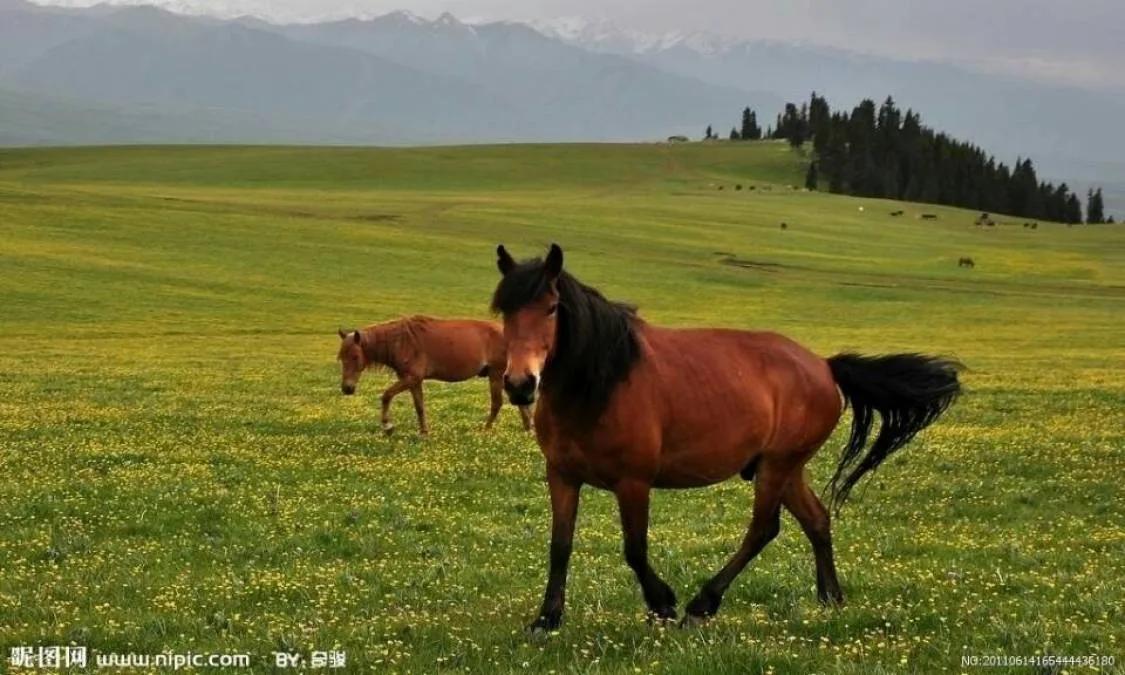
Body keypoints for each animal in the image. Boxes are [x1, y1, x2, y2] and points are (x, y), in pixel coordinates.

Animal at [333, 315, 531, 432]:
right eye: (341, 357)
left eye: (355, 356)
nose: (347, 388)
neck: (401, 341)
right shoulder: (413, 381)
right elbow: (419, 406)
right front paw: (424, 432)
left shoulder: (411, 378)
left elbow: (386, 395)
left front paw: (388, 426)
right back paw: (528, 428)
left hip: (496, 374)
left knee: (497, 403)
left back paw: (486, 429)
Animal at [492, 245, 958, 630]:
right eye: (504, 312)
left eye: (552, 307)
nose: (520, 384)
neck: (602, 383)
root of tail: (824, 367)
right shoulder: (562, 476)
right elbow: (560, 545)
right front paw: (547, 619)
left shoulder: (633, 482)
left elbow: (635, 550)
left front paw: (663, 604)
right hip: (787, 468)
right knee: (816, 520)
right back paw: (831, 599)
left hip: (776, 467)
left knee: (763, 529)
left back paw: (703, 604)